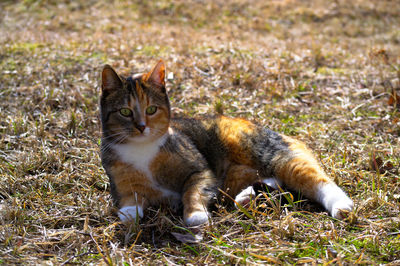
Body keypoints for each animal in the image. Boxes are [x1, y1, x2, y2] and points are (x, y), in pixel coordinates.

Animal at [100, 60, 354, 227]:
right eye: (125, 112)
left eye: (151, 109)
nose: (141, 126)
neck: (142, 149)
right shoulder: (120, 182)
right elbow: (128, 201)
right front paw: (129, 214)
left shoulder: (200, 170)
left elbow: (192, 191)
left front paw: (195, 215)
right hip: (235, 179)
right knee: (276, 186)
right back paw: (247, 197)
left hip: (274, 156)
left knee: (316, 180)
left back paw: (341, 205)